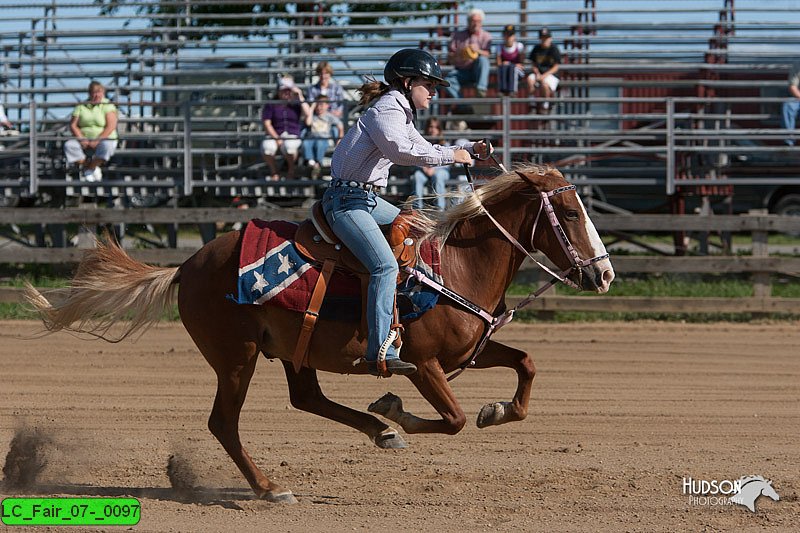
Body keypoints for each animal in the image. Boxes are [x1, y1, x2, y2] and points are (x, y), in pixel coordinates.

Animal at [23, 164, 612, 500]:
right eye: (566, 211)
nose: (604, 274)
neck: (457, 266)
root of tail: (187, 265)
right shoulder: (424, 365)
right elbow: (454, 419)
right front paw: (399, 410)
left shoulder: (470, 350)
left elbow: (525, 365)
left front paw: (497, 410)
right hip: (235, 357)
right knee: (224, 422)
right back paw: (270, 487)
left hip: (288, 351)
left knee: (306, 397)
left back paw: (378, 432)